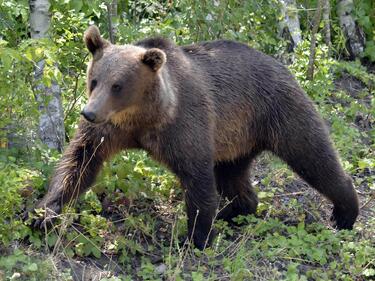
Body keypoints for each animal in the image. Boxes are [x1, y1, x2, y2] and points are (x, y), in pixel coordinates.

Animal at [33, 25, 360, 249]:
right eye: (94, 80)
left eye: (118, 85)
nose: (89, 112)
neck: (145, 118)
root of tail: (280, 64)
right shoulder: (109, 131)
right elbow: (79, 163)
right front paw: (43, 213)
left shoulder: (185, 126)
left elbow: (198, 178)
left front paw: (195, 237)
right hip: (237, 138)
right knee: (233, 175)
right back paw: (234, 211)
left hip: (277, 111)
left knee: (312, 155)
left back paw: (345, 213)